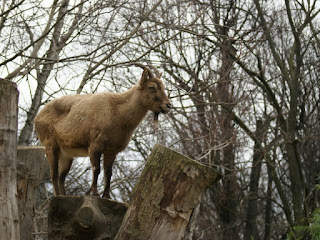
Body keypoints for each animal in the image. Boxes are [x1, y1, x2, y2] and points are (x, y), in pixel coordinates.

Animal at [33, 64, 171, 198]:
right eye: (152, 87)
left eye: (163, 86)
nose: (168, 105)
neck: (118, 113)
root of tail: (37, 117)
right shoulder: (95, 146)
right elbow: (96, 169)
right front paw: (94, 193)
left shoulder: (111, 151)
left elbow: (108, 172)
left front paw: (106, 196)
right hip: (51, 146)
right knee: (54, 174)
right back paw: (57, 196)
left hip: (67, 154)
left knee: (62, 177)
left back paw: (64, 196)